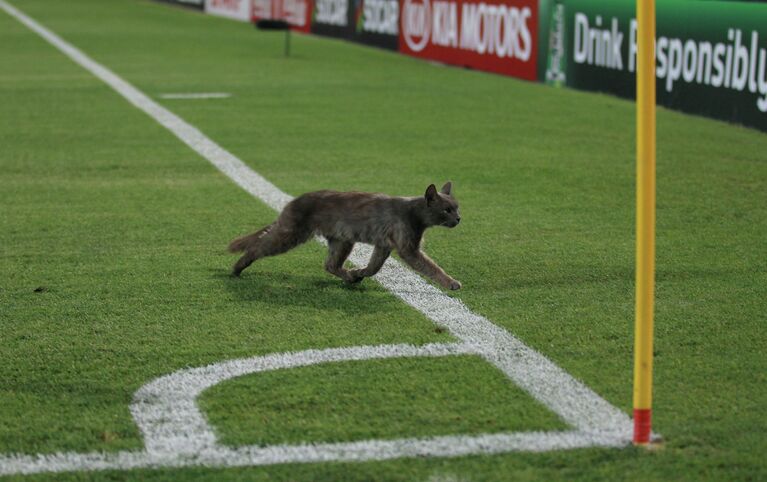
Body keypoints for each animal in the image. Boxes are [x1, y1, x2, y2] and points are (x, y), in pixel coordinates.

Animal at [228, 182, 462, 290]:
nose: (459, 219)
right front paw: (451, 282)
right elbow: (431, 267)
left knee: (330, 265)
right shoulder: (408, 249)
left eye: (457, 208)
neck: (414, 214)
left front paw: (360, 272)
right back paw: (237, 268)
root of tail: (292, 201)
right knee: (257, 246)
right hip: (291, 235)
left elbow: (374, 267)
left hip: (342, 240)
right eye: (447, 210)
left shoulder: (383, 245)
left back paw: (350, 277)